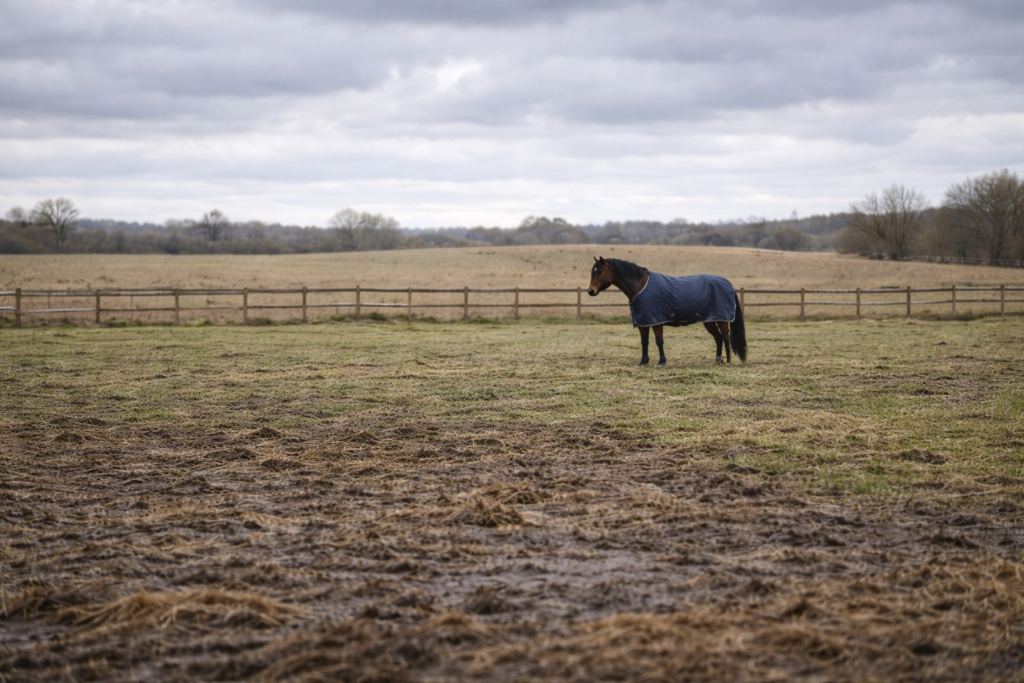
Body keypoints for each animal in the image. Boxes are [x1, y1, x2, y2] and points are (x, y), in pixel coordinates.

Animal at [587, 256, 747, 367]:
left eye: (600, 271)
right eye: (592, 272)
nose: (590, 291)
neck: (641, 287)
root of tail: (727, 283)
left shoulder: (656, 321)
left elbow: (659, 341)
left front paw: (661, 362)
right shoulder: (643, 322)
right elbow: (644, 342)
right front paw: (643, 362)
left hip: (722, 319)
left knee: (726, 337)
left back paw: (728, 361)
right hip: (709, 320)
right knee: (718, 338)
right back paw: (717, 360)